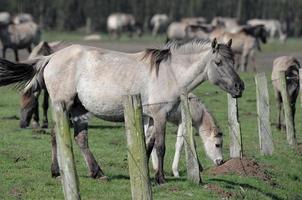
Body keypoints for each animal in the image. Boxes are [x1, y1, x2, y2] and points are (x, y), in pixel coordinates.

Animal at [0, 38, 243, 184]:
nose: (239, 86)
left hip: (79, 109)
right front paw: (160, 178)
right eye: (219, 62)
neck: (170, 73)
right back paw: (57, 171)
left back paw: (97, 172)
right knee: (55, 136)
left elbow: (147, 146)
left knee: (80, 139)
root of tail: (50, 58)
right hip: (64, 105)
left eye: (233, 61)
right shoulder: (160, 116)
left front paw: (144, 174)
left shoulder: (149, 118)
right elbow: (160, 147)